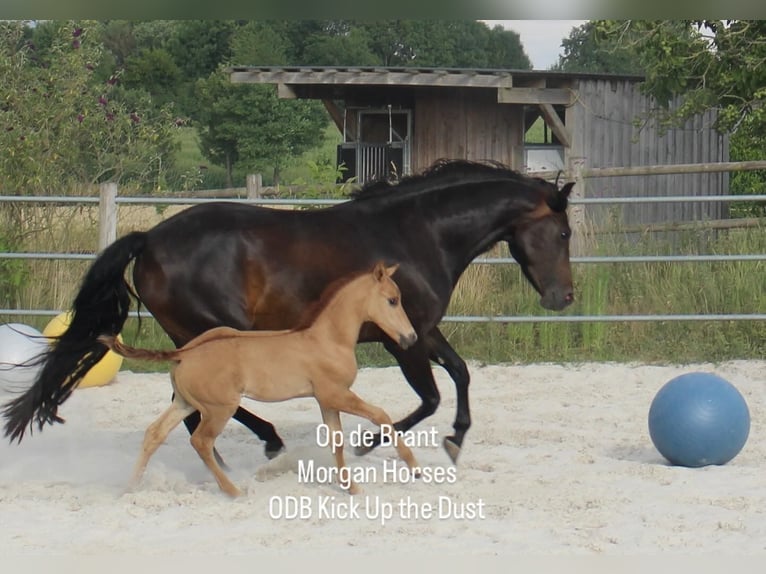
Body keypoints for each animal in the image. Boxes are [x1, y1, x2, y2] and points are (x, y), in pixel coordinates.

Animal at [3, 159, 575, 463]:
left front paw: (456, 439)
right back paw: (267, 442)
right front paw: (368, 443)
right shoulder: (400, 339)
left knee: (186, 409)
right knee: (203, 409)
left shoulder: (420, 331)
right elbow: (429, 396)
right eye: (565, 232)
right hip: (215, 333)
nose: (564, 297)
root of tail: (148, 239)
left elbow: (459, 373)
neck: (419, 234)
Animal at [99, 262, 418, 496]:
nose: (411, 338)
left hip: (186, 403)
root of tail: (184, 352)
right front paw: (414, 466)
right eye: (392, 300)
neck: (328, 339)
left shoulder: (326, 400)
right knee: (201, 441)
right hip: (218, 409)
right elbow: (381, 414)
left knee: (155, 433)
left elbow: (336, 441)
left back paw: (130, 487)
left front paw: (351, 488)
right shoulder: (336, 394)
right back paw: (233, 490)